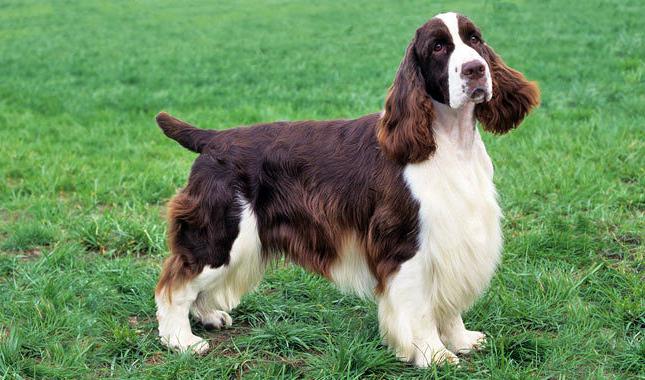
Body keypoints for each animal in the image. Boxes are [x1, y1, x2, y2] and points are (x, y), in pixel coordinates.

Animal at [155, 11, 540, 366]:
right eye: (438, 47)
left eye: (474, 39)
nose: (475, 69)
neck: (446, 141)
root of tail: (213, 139)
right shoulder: (405, 243)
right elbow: (420, 309)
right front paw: (434, 354)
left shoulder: (456, 235)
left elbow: (448, 302)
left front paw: (462, 340)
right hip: (221, 231)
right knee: (175, 284)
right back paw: (181, 341)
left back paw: (209, 317)